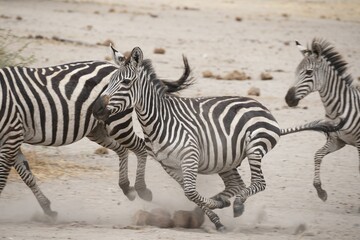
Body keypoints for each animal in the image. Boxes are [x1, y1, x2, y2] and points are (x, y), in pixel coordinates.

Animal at [0, 50, 191, 219]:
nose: (96, 107)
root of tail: (113, 64)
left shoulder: (12, 134)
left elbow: (3, 178)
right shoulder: (12, 138)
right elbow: (26, 175)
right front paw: (47, 208)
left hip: (117, 123)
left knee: (140, 147)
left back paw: (141, 189)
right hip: (96, 128)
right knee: (123, 149)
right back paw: (127, 187)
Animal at [92, 46, 340, 230]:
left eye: (125, 83)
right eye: (108, 82)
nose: (96, 109)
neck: (158, 120)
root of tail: (263, 108)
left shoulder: (190, 156)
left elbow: (191, 192)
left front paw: (214, 207)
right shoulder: (169, 165)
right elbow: (191, 194)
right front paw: (215, 216)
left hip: (254, 147)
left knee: (257, 183)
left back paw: (235, 203)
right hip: (226, 159)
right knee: (237, 185)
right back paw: (227, 202)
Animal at [286, 38, 358, 202]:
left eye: (308, 72)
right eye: (295, 72)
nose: (288, 99)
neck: (338, 109)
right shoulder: (338, 141)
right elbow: (317, 155)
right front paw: (320, 190)